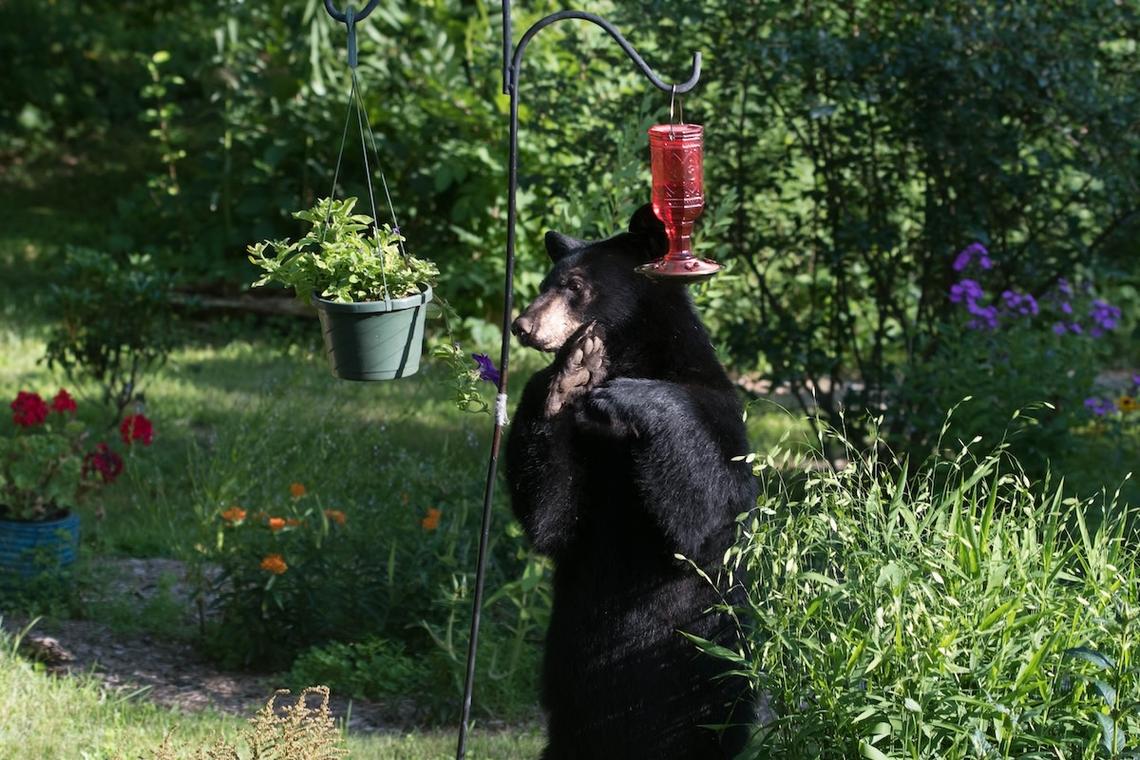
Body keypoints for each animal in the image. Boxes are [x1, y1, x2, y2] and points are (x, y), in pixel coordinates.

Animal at [505, 205, 758, 760]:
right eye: (546, 282)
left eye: (575, 286)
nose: (522, 325)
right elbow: (555, 516)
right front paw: (570, 375)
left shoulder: (721, 413)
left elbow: (710, 513)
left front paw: (624, 395)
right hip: (569, 702)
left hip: (712, 672)